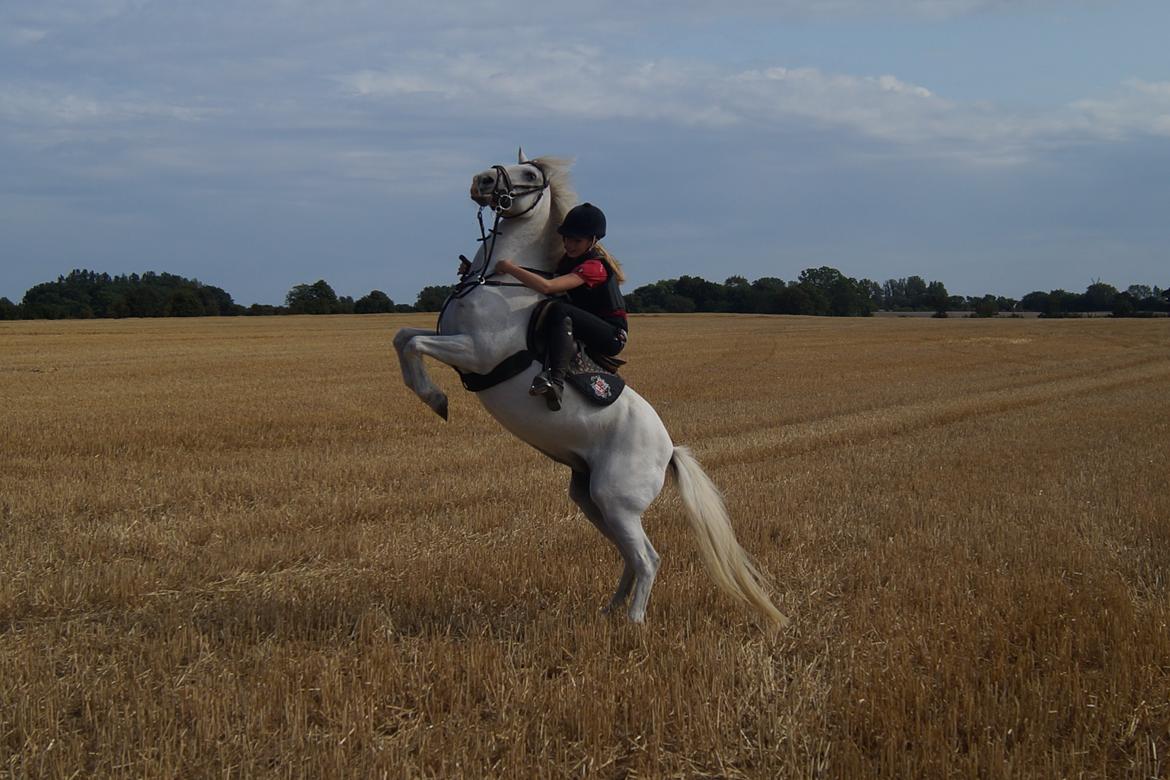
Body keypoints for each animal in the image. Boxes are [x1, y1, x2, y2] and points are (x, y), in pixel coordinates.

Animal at [393, 150, 787, 627]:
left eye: (529, 174)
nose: (480, 180)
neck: (500, 282)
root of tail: (669, 451)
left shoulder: (475, 351)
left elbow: (414, 344)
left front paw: (437, 400)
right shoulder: (451, 342)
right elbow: (402, 338)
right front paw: (432, 397)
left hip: (615, 500)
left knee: (649, 558)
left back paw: (634, 622)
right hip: (590, 498)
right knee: (631, 557)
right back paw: (610, 610)